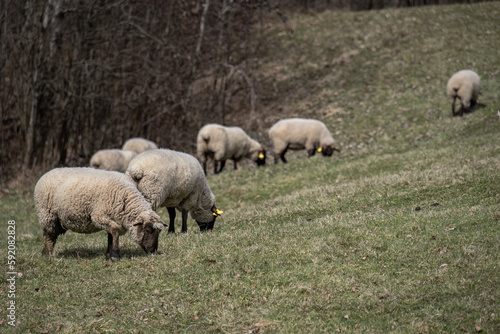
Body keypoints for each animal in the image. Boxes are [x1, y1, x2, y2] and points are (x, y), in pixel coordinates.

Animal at [33, 167, 166, 260]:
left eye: (159, 232)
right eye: (148, 230)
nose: (153, 251)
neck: (125, 197)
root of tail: (46, 173)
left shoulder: (112, 218)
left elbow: (111, 235)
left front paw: (108, 255)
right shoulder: (99, 216)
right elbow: (115, 231)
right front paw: (115, 256)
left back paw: (44, 253)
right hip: (47, 215)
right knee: (49, 236)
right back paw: (49, 255)